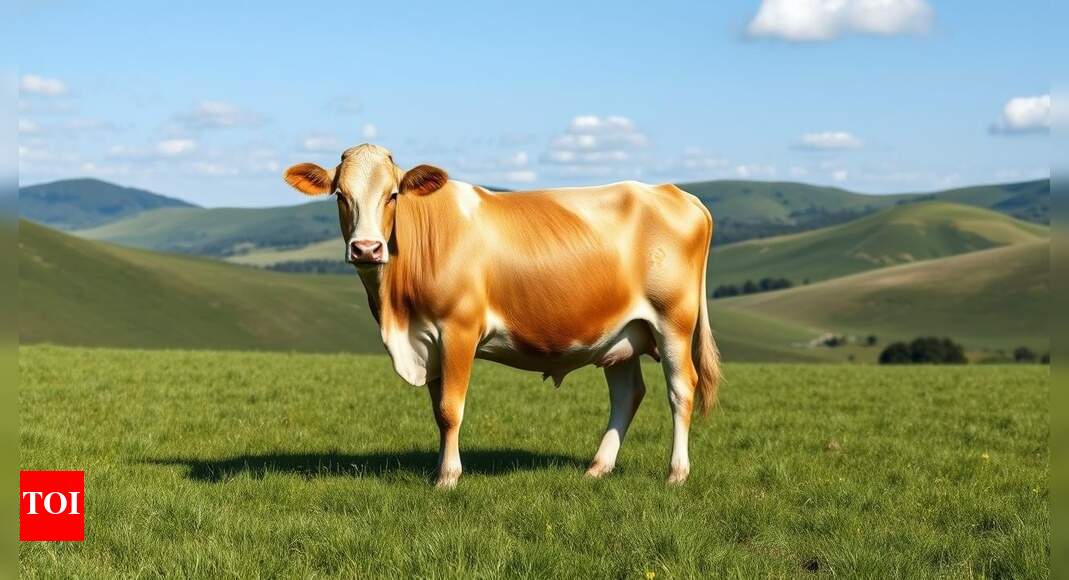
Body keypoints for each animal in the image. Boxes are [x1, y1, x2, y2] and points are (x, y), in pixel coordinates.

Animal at [283, 144, 721, 488]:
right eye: (340, 195)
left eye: (393, 195)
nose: (367, 249)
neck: (398, 314)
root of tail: (675, 193)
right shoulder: (427, 341)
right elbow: (437, 411)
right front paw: (439, 469)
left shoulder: (457, 329)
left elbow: (451, 409)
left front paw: (448, 478)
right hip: (620, 333)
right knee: (627, 394)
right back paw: (598, 468)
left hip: (673, 320)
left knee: (682, 388)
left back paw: (676, 473)